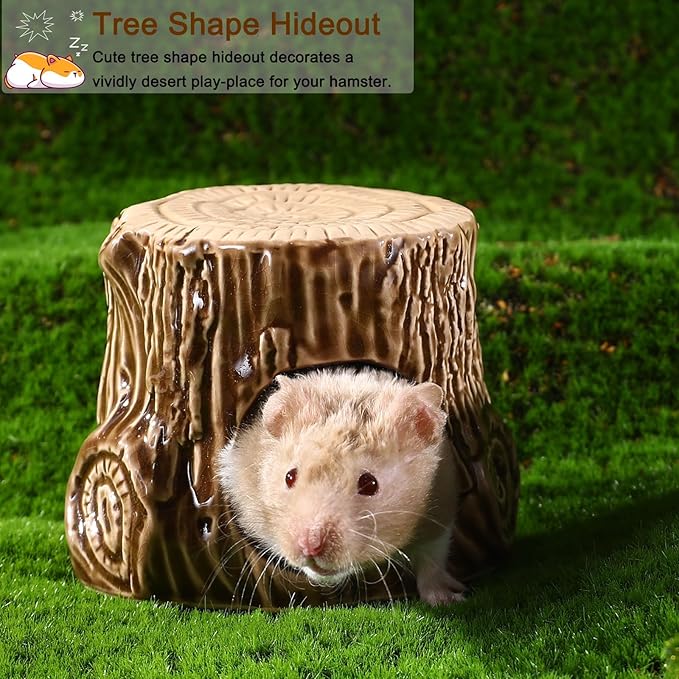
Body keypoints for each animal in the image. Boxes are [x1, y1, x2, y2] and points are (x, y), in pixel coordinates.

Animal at [217, 367, 466, 606]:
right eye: (289, 476)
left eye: (370, 483)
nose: (310, 545)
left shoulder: (441, 510)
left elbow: (432, 561)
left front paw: (448, 600)